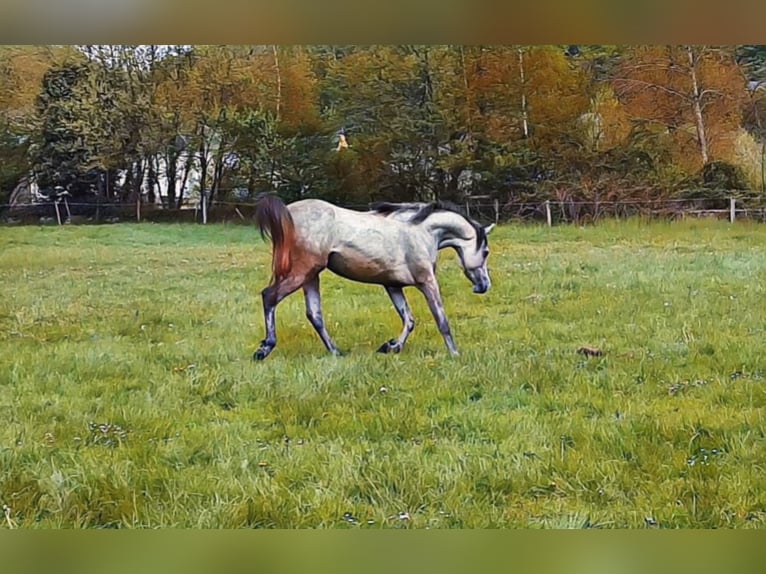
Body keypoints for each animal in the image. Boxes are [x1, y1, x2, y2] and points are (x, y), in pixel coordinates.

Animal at [252, 196, 498, 362]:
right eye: (486, 252)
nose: (484, 286)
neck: (421, 231)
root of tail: (288, 213)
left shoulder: (392, 285)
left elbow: (409, 320)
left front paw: (390, 347)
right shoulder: (426, 282)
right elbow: (441, 320)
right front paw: (455, 354)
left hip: (312, 276)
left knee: (315, 314)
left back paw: (336, 352)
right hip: (302, 272)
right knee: (269, 296)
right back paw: (264, 349)